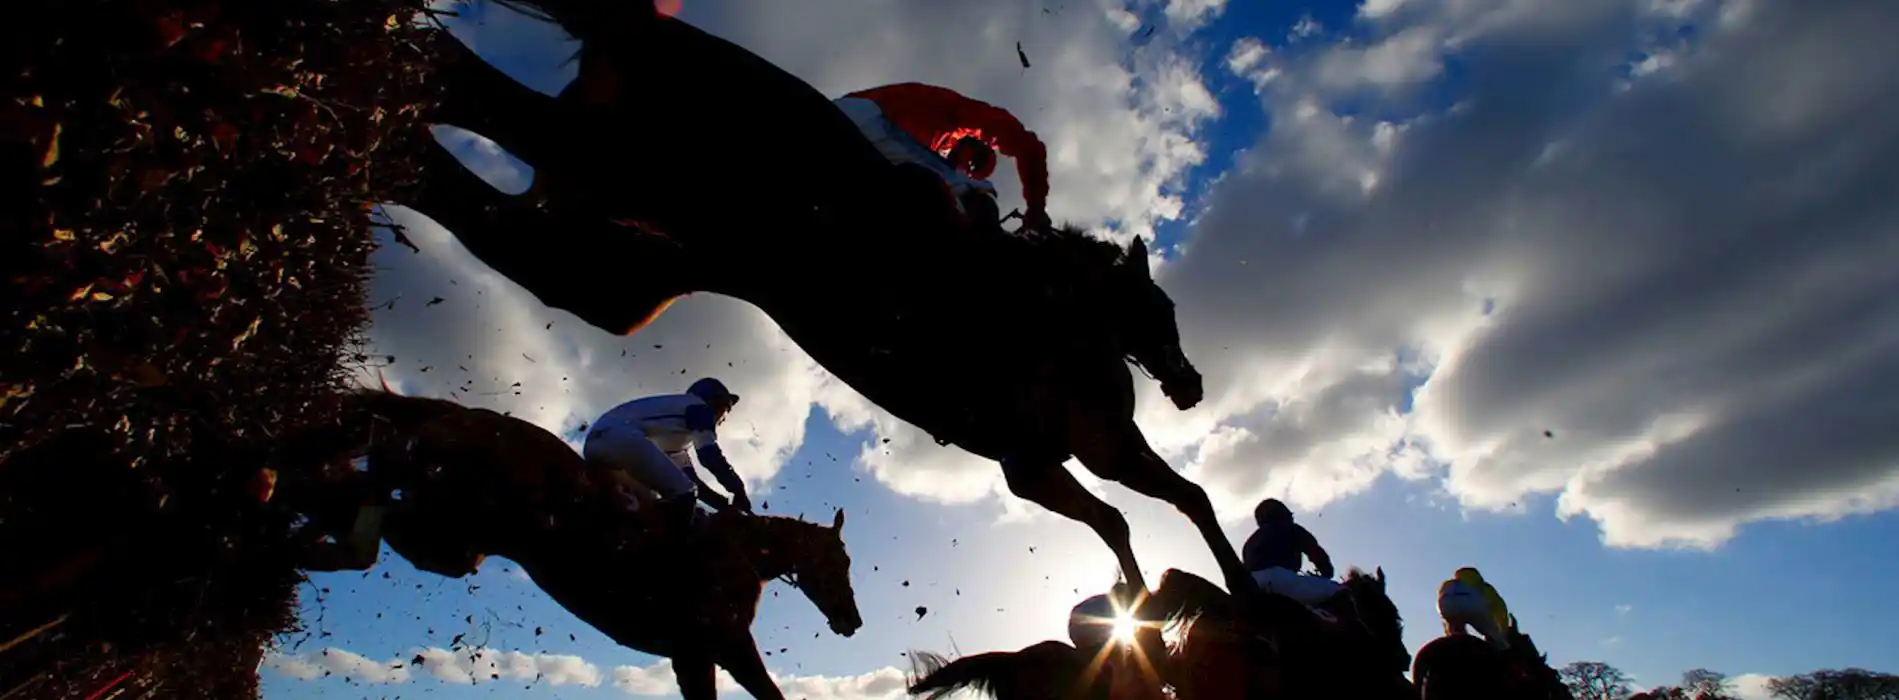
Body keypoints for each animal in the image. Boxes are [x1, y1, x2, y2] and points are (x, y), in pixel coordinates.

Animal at [300, 386, 865, 698]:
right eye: (840, 563)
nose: (853, 622)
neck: (742, 553)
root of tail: (469, 415)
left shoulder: (692, 656)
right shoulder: (720, 644)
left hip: (456, 537)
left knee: (352, 495)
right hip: (453, 521)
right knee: (360, 507)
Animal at [402, 2, 1253, 595]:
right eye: (1162, 310)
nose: (1188, 386)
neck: (1062, 309)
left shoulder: (1054, 459)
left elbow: (1146, 511)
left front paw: (1150, 604)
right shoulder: (1077, 450)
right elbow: (1159, 506)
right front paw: (1198, 595)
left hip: (650, 247)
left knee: (536, 241)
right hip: (620, 165)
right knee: (459, 95)